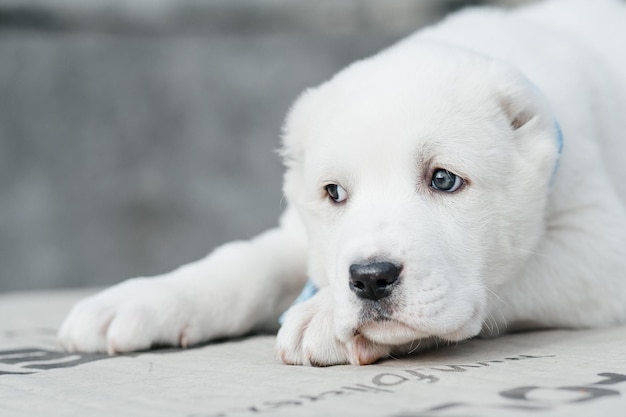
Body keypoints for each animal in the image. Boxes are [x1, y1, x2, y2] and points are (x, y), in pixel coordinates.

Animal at [57, 0, 624, 364]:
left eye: (443, 179)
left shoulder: (601, 248)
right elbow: (245, 262)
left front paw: (321, 314)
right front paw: (139, 300)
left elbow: (517, 274)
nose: (370, 279)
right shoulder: (300, 232)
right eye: (333, 193)